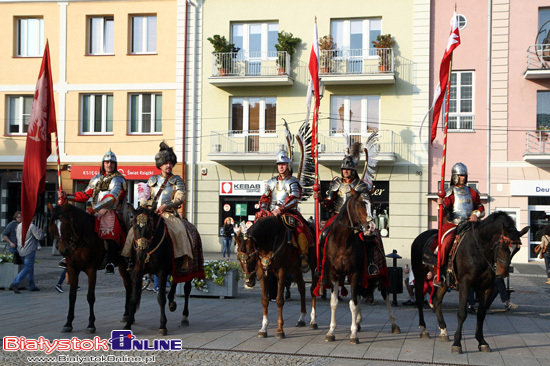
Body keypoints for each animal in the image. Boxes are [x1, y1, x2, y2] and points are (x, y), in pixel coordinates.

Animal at [48, 202, 132, 334]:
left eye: (67, 223)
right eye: (54, 226)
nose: (63, 250)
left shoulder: (91, 269)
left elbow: (90, 297)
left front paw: (91, 324)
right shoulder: (72, 269)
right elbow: (72, 296)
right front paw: (68, 323)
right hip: (122, 266)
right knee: (127, 285)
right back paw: (126, 314)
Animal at [124, 206, 206, 334]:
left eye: (149, 227)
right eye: (134, 226)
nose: (141, 254)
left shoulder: (162, 272)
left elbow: (161, 298)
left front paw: (163, 326)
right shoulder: (137, 272)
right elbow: (133, 298)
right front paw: (128, 323)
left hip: (190, 269)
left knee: (187, 289)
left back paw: (184, 317)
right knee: (175, 281)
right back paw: (172, 301)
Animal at [320, 189, 402, 344]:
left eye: (373, 205)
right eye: (359, 205)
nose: (371, 228)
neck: (342, 241)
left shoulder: (355, 273)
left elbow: (352, 303)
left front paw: (353, 335)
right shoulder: (334, 274)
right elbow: (334, 302)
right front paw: (331, 332)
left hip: (380, 274)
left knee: (386, 295)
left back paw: (394, 324)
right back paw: (357, 323)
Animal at [412, 213, 532, 354]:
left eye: (516, 250)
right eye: (503, 246)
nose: (502, 273)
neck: (480, 249)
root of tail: (421, 235)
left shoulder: (486, 287)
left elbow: (481, 314)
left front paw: (482, 342)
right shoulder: (465, 284)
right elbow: (462, 313)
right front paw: (457, 343)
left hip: (443, 282)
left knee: (436, 300)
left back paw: (443, 330)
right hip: (419, 274)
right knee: (420, 299)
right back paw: (423, 329)